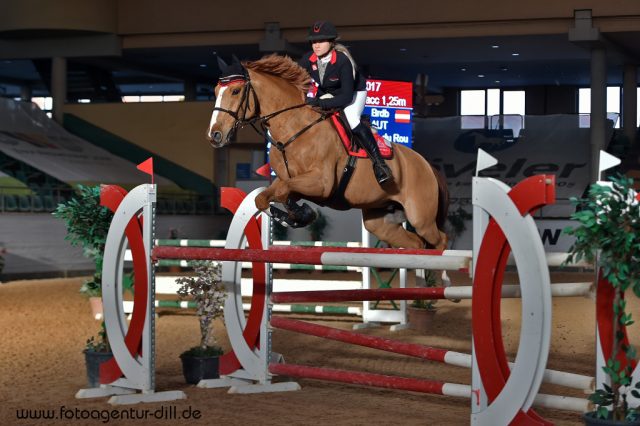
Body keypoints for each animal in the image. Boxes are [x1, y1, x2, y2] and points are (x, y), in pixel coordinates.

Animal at [208, 54, 448, 253]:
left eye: (236, 91)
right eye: (216, 92)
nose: (215, 135)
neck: (292, 129)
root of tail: (428, 166)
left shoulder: (321, 184)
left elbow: (284, 191)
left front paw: (300, 215)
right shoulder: (289, 181)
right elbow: (265, 198)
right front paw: (297, 216)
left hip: (421, 218)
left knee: (440, 241)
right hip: (381, 221)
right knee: (415, 243)